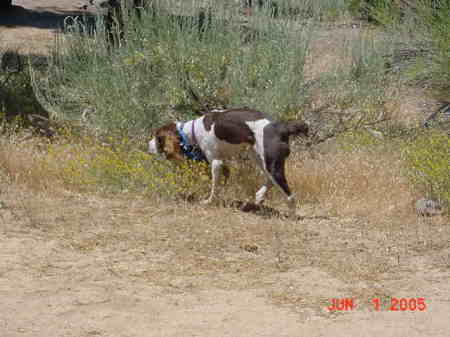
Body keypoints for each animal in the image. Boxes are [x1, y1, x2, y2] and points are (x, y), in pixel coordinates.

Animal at [149, 107, 310, 215]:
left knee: (289, 195)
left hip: (271, 163)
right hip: (258, 157)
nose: (148, 145)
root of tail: (284, 127)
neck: (193, 130)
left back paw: (290, 214)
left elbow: (214, 187)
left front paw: (209, 201)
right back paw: (259, 197)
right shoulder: (224, 165)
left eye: (158, 138)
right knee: (269, 180)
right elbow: (222, 183)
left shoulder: (216, 162)